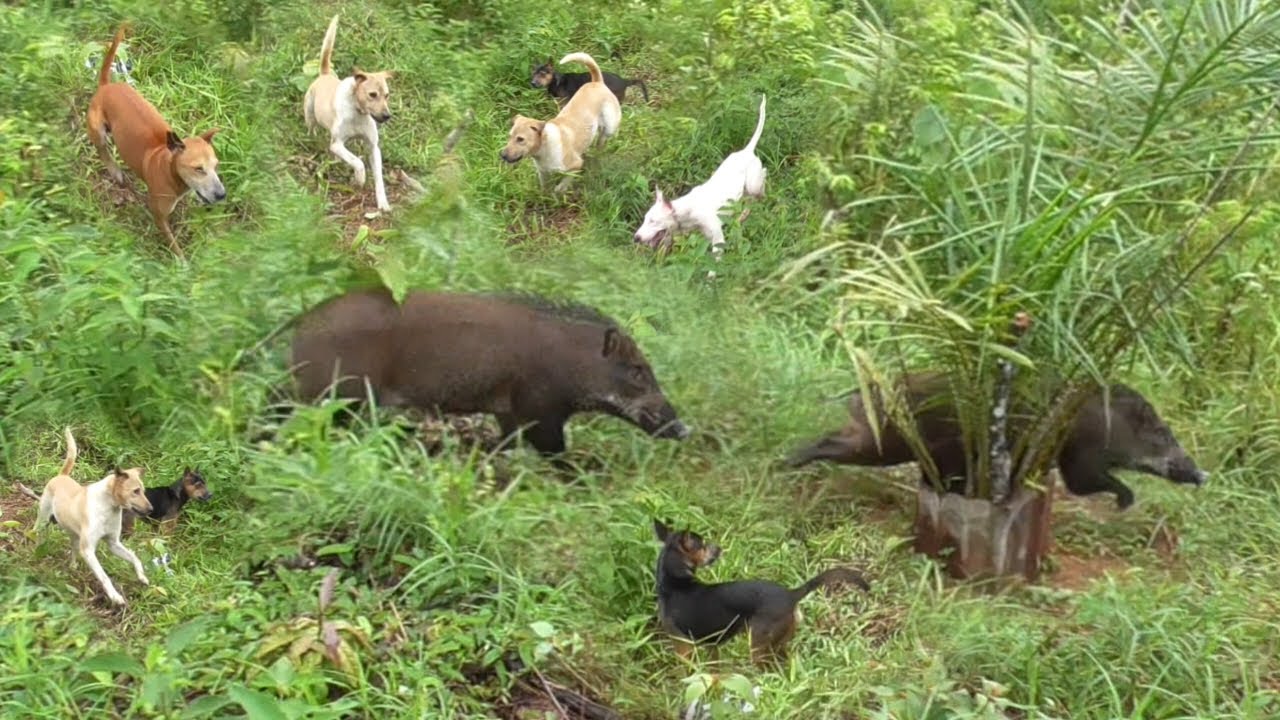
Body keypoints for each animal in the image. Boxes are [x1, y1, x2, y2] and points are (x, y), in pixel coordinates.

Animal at [289, 287, 690, 454]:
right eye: (637, 371)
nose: (684, 430)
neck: (573, 362)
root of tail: (300, 324)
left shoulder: (508, 414)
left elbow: (505, 445)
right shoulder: (540, 414)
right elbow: (558, 454)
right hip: (335, 396)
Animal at [786, 371, 1207, 509]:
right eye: (1162, 433)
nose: (1202, 474)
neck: (1112, 423)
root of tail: (865, 392)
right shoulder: (1080, 460)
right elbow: (1090, 484)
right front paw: (1126, 502)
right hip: (886, 443)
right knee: (827, 443)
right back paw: (786, 464)